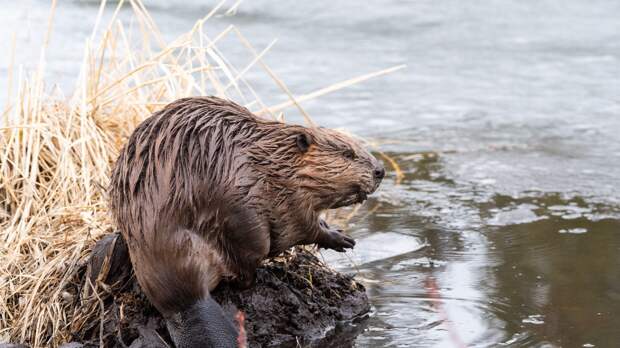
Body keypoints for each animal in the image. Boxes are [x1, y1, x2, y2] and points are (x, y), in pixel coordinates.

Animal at [109, 96, 386, 346]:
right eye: (348, 153)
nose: (380, 170)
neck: (274, 160)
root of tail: (186, 302)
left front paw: (341, 236)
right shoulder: (287, 199)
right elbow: (303, 227)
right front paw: (341, 238)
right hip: (244, 223)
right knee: (245, 271)